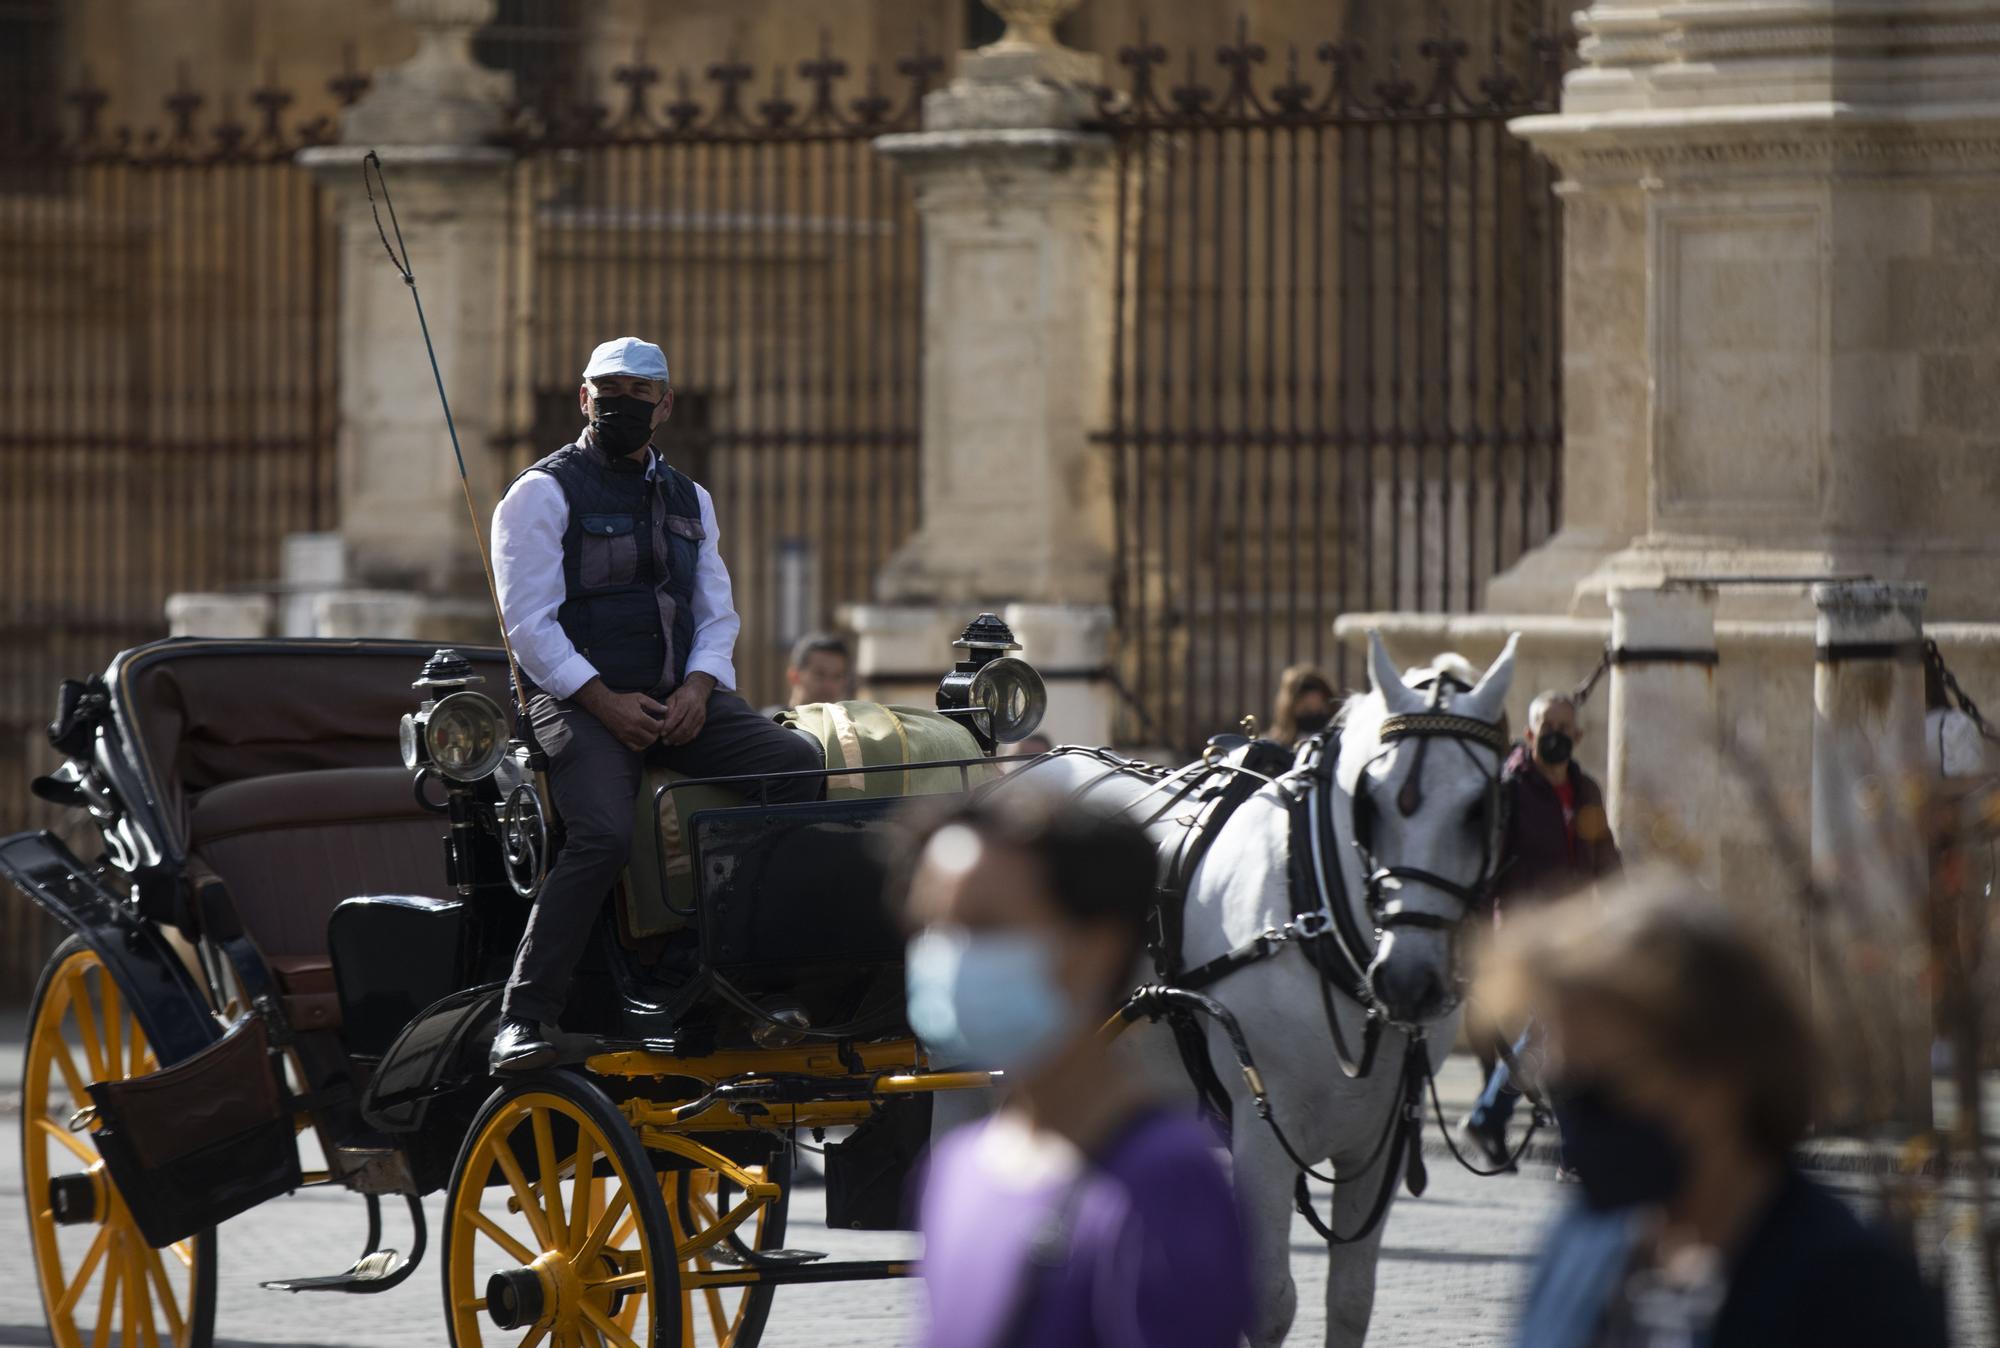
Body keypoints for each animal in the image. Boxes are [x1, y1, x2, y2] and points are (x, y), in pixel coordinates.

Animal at [1000, 632, 1512, 1344]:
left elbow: (1352, 1299)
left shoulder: (1376, 1142)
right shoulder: (1264, 1133)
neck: (1314, 913)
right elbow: (1270, 1302)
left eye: (1478, 808)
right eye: (1372, 802)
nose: (1409, 979)